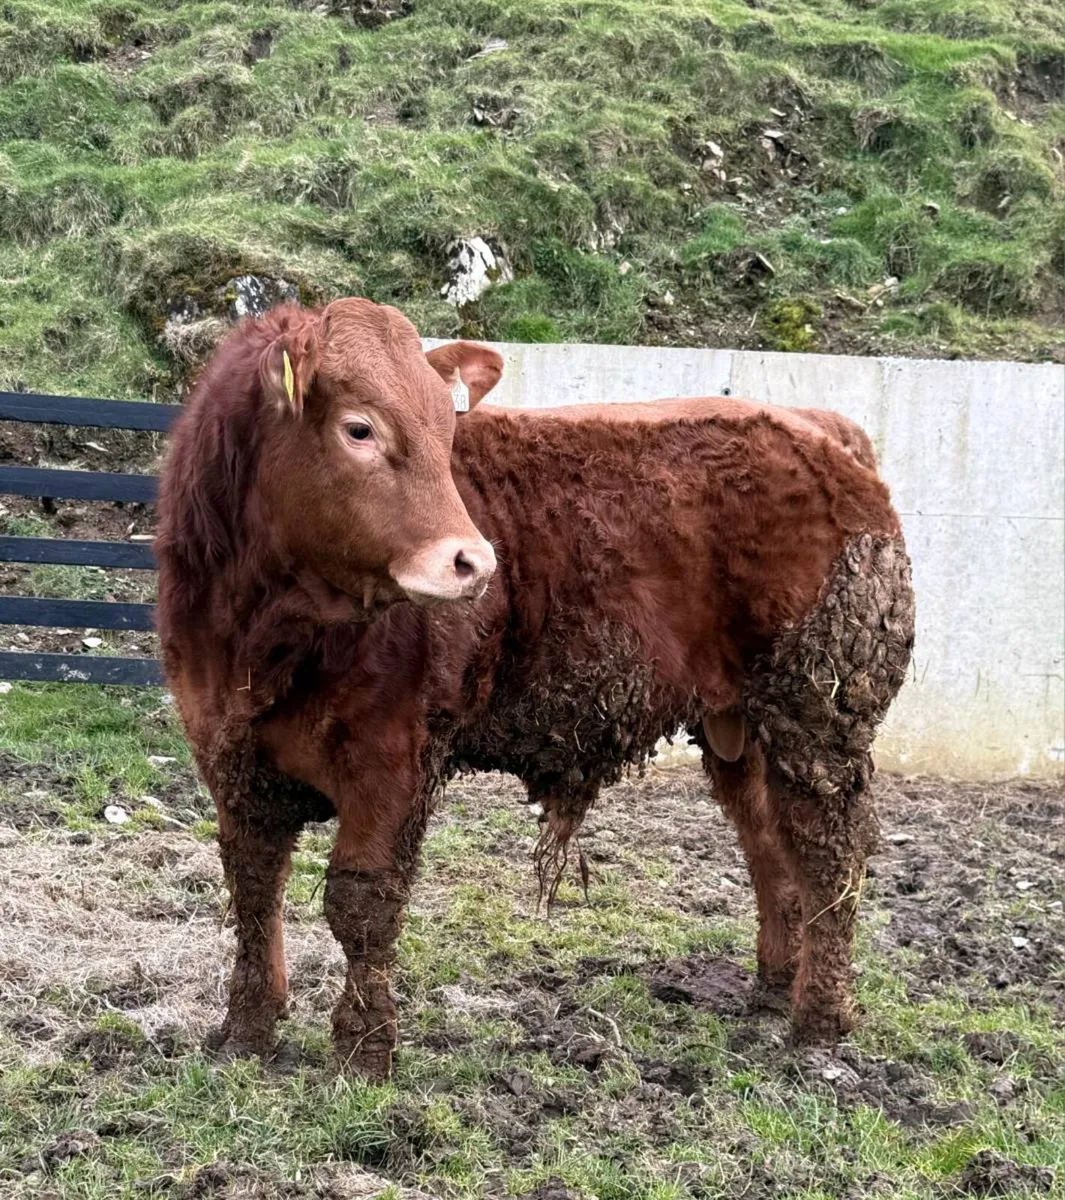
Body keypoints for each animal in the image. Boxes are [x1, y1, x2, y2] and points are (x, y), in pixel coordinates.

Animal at [155, 297, 915, 1080]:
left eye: (446, 432)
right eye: (358, 428)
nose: (474, 562)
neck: (261, 635)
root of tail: (818, 425)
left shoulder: (392, 757)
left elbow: (360, 901)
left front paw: (363, 1052)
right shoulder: (227, 752)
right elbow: (252, 887)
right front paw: (246, 1030)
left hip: (817, 709)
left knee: (828, 851)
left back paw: (818, 1020)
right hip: (738, 723)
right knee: (769, 842)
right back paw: (771, 986)